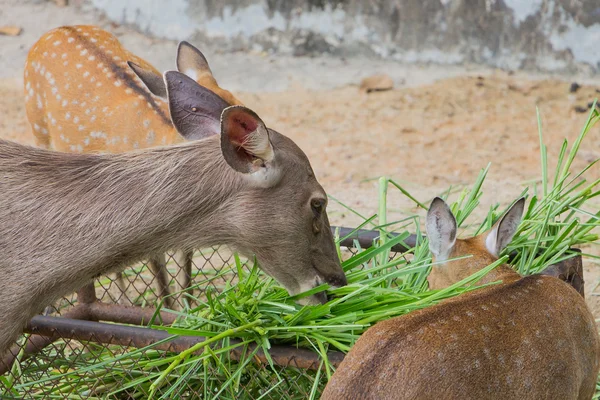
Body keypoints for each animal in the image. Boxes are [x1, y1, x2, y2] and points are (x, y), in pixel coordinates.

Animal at [22, 25, 244, 308]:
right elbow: (161, 278)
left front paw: (191, 308)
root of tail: (54, 30)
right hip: (39, 129)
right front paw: (169, 313)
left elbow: (186, 268)